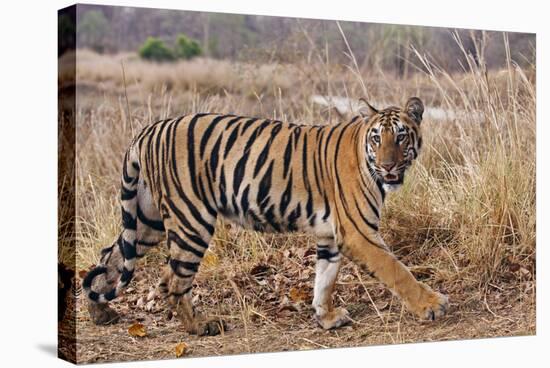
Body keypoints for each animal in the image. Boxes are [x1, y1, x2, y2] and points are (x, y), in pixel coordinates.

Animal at [84, 97, 450, 336]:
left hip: (148, 221)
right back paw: (200, 326)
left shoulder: (330, 235)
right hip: (191, 220)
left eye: (401, 136)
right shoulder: (358, 232)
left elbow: (325, 278)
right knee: (174, 280)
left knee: (111, 256)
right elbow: (397, 270)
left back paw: (101, 313)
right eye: (378, 138)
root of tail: (149, 130)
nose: (388, 166)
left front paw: (326, 317)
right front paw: (432, 305)